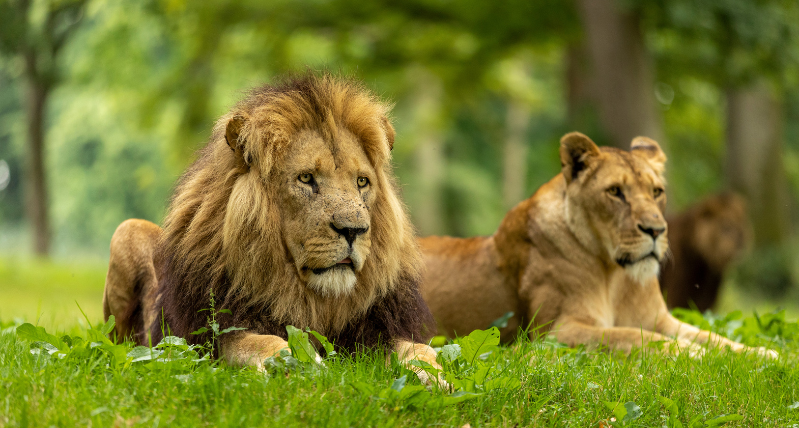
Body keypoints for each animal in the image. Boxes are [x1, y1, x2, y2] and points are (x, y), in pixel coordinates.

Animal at [101, 74, 444, 382]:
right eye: (306, 178)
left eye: (362, 182)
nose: (353, 230)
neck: (317, 303)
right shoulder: (210, 336)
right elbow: (263, 341)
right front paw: (301, 364)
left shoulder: (376, 330)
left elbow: (419, 349)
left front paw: (434, 376)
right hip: (126, 232)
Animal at [422, 131, 780, 358]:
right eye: (615, 192)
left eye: (656, 192)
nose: (656, 230)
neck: (615, 274)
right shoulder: (556, 332)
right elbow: (634, 337)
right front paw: (693, 354)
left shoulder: (662, 319)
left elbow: (716, 337)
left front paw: (764, 354)